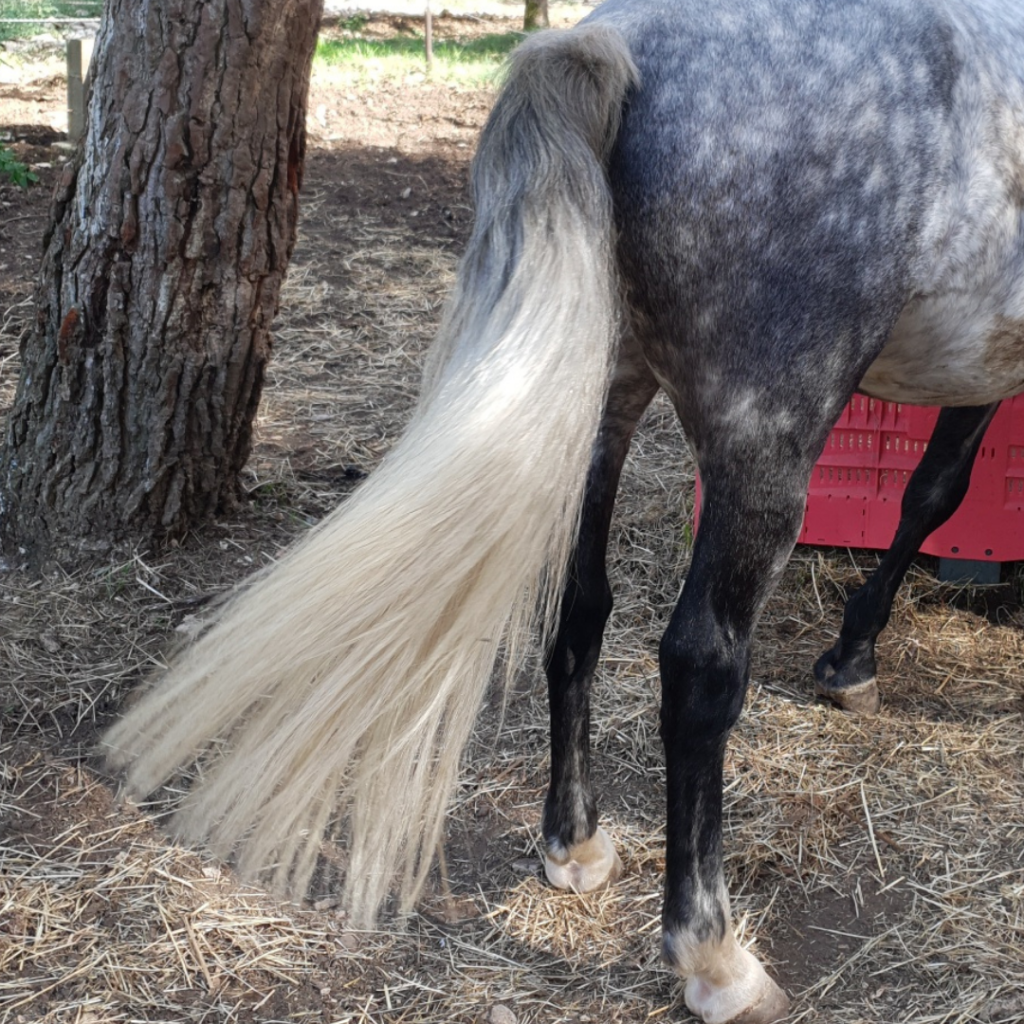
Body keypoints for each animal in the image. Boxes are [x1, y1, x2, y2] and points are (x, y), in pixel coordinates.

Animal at [103, 0, 1024, 1020]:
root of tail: (615, 41)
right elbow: (937, 487)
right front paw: (854, 655)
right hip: (764, 437)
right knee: (700, 666)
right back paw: (713, 958)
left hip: (603, 400)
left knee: (579, 611)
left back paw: (573, 841)